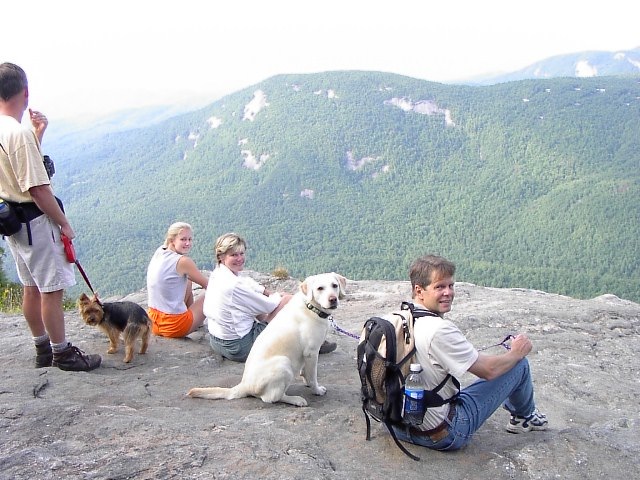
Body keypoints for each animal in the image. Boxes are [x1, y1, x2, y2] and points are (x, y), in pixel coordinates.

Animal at [186, 272, 344, 406]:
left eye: (334, 285)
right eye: (320, 288)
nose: (333, 299)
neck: (310, 306)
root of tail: (244, 384)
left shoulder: (307, 354)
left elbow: (306, 372)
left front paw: (306, 382)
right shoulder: (311, 352)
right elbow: (313, 376)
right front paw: (316, 390)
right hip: (283, 363)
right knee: (271, 398)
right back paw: (296, 400)